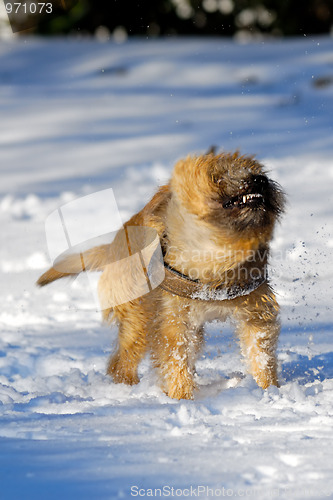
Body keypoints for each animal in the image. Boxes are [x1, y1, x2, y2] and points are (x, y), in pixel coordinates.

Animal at [37, 150, 284, 400]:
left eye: (258, 170)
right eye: (217, 177)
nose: (260, 180)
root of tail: (113, 247)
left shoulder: (255, 312)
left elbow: (261, 355)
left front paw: (268, 389)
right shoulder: (173, 321)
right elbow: (175, 361)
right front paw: (182, 398)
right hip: (139, 320)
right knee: (121, 362)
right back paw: (128, 390)